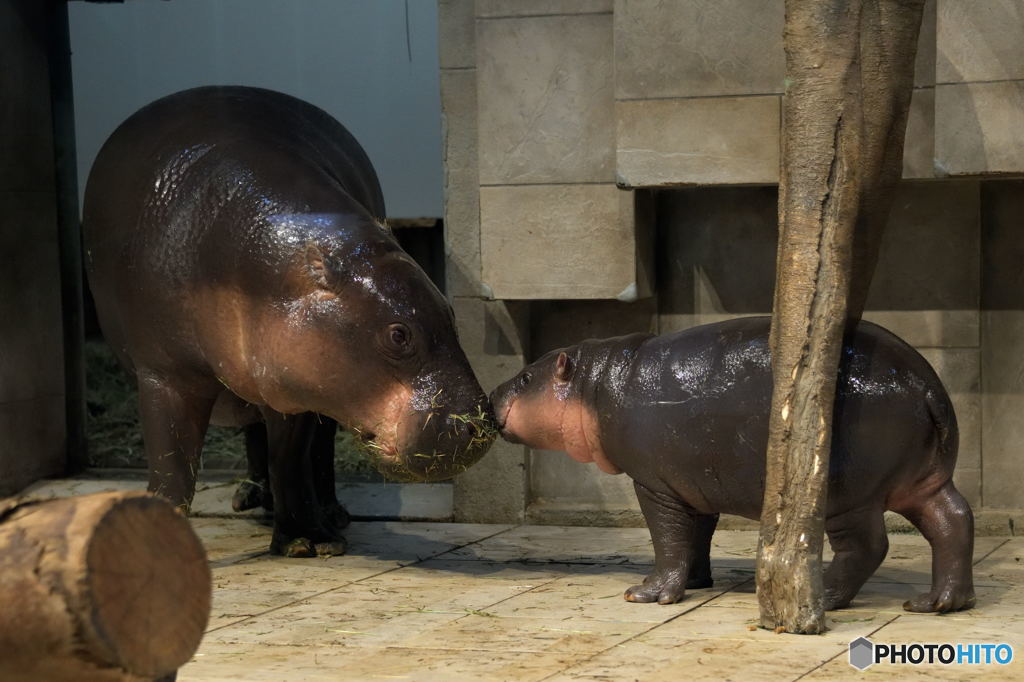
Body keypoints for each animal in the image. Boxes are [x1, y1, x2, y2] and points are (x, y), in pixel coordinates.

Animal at [83, 86, 491, 552]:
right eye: (398, 335)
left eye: (450, 313)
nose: (481, 425)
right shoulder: (165, 372)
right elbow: (172, 463)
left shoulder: (298, 382)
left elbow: (291, 460)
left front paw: (309, 543)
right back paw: (251, 497)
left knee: (313, 449)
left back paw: (327, 513)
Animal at [493, 315, 974, 614]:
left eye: (525, 377)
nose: (492, 393)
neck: (593, 385)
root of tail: (925, 384)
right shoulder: (692, 483)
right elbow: (695, 536)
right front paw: (696, 583)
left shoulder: (655, 484)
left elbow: (667, 538)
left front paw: (646, 594)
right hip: (925, 481)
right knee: (953, 521)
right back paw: (940, 603)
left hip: (848, 494)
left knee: (868, 546)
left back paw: (826, 598)